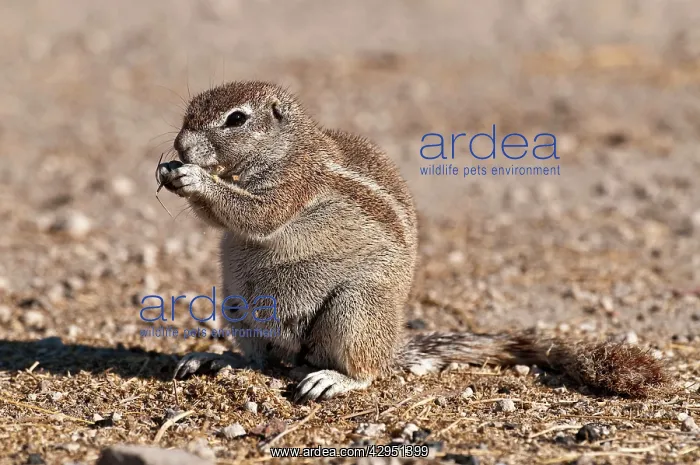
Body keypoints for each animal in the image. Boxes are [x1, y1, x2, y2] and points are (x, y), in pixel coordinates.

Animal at [157, 81, 667, 403]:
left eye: (236, 119)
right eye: (189, 110)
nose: (180, 146)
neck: (286, 149)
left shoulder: (294, 185)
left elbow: (255, 215)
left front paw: (193, 176)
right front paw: (172, 171)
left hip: (356, 308)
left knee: (365, 371)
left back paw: (333, 380)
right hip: (237, 307)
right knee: (264, 362)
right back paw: (214, 360)